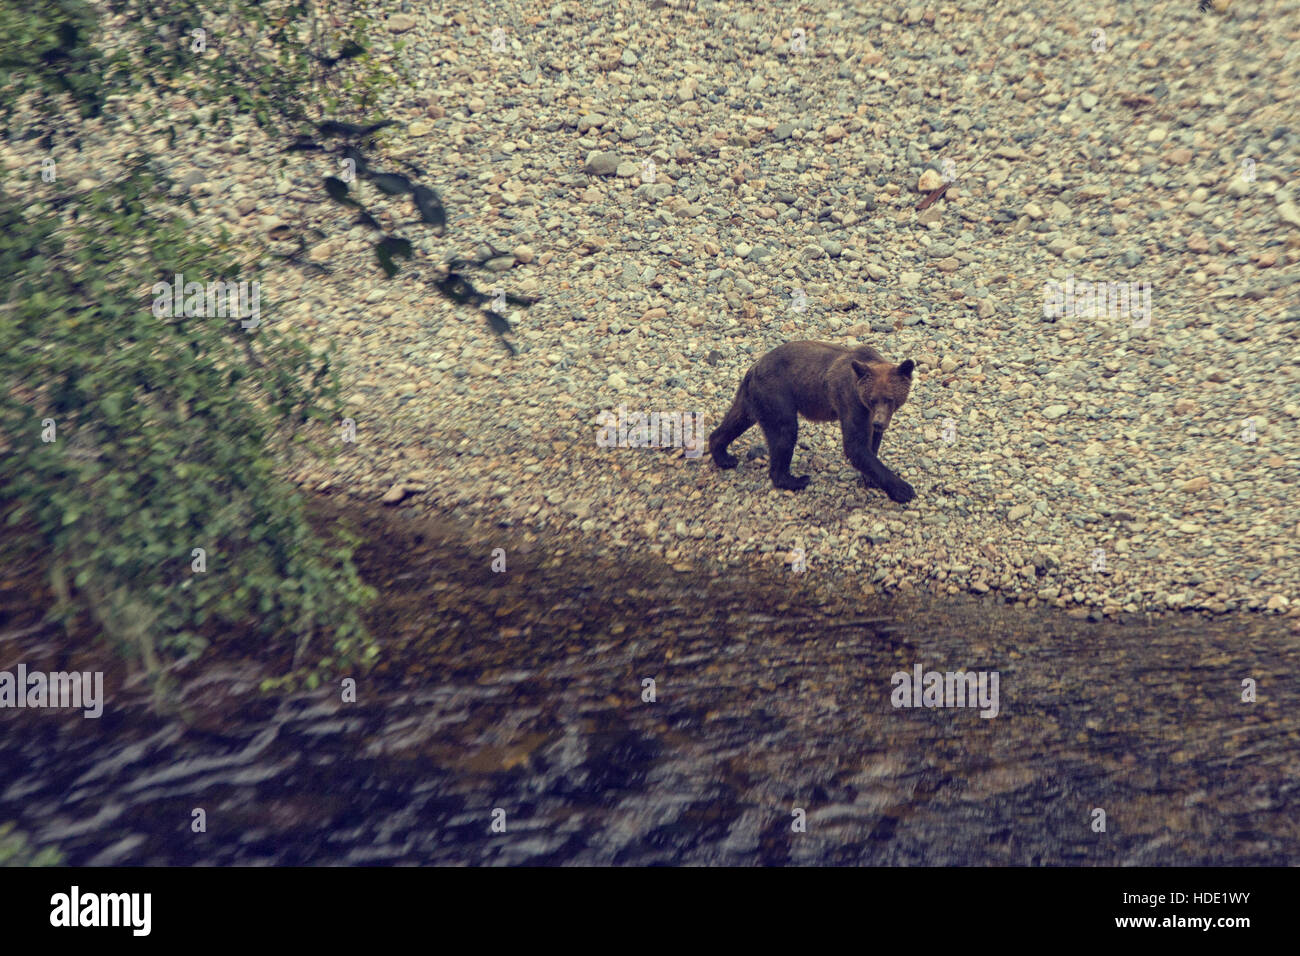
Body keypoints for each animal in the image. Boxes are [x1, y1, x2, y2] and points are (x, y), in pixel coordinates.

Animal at [712, 343, 915, 509]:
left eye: (890, 399)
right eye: (873, 399)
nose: (879, 422)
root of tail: (754, 367)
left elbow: (871, 442)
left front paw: (870, 479)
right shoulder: (850, 400)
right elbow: (855, 446)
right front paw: (904, 490)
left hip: (752, 396)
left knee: (738, 419)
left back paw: (724, 456)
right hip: (777, 393)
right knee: (784, 432)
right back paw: (796, 480)